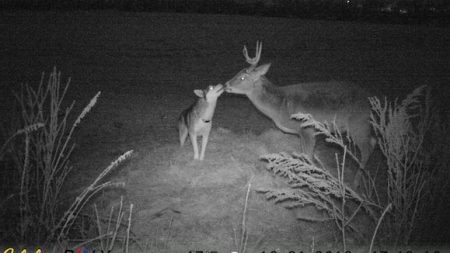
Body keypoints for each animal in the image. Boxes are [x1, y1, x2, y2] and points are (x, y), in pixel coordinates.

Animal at [225, 41, 376, 188]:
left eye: (242, 77)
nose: (226, 85)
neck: (280, 106)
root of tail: (371, 101)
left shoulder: (307, 129)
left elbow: (308, 156)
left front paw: (311, 181)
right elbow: (304, 155)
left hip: (358, 123)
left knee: (366, 149)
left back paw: (355, 183)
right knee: (373, 141)